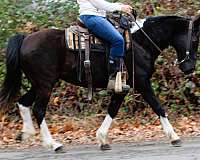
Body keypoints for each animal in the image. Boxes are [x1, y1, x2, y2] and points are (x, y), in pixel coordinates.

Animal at [0, 15, 199, 152]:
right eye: (196, 39)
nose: (189, 68)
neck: (140, 42)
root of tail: (26, 38)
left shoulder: (123, 87)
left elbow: (113, 109)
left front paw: (102, 139)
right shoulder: (142, 82)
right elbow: (158, 107)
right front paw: (174, 137)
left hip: (39, 84)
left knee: (23, 103)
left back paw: (26, 133)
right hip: (45, 85)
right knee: (39, 110)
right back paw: (54, 144)